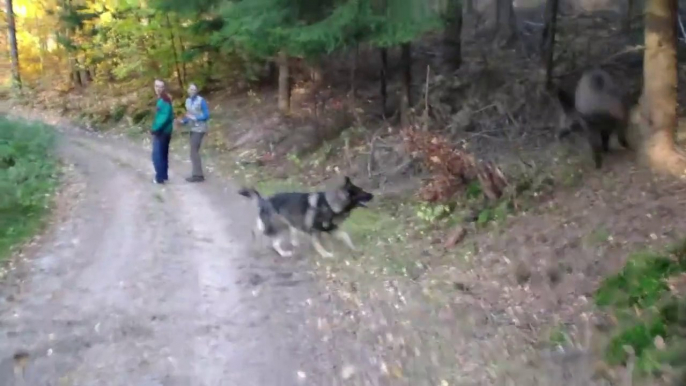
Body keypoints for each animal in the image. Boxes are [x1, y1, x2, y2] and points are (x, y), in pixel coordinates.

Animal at [238, 176, 376, 258]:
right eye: (361, 192)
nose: (373, 195)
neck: (330, 203)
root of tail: (264, 201)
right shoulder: (315, 231)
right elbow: (318, 245)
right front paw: (325, 254)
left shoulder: (332, 229)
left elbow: (346, 236)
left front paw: (354, 249)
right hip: (279, 226)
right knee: (274, 242)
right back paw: (284, 253)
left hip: (281, 224)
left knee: (259, 229)